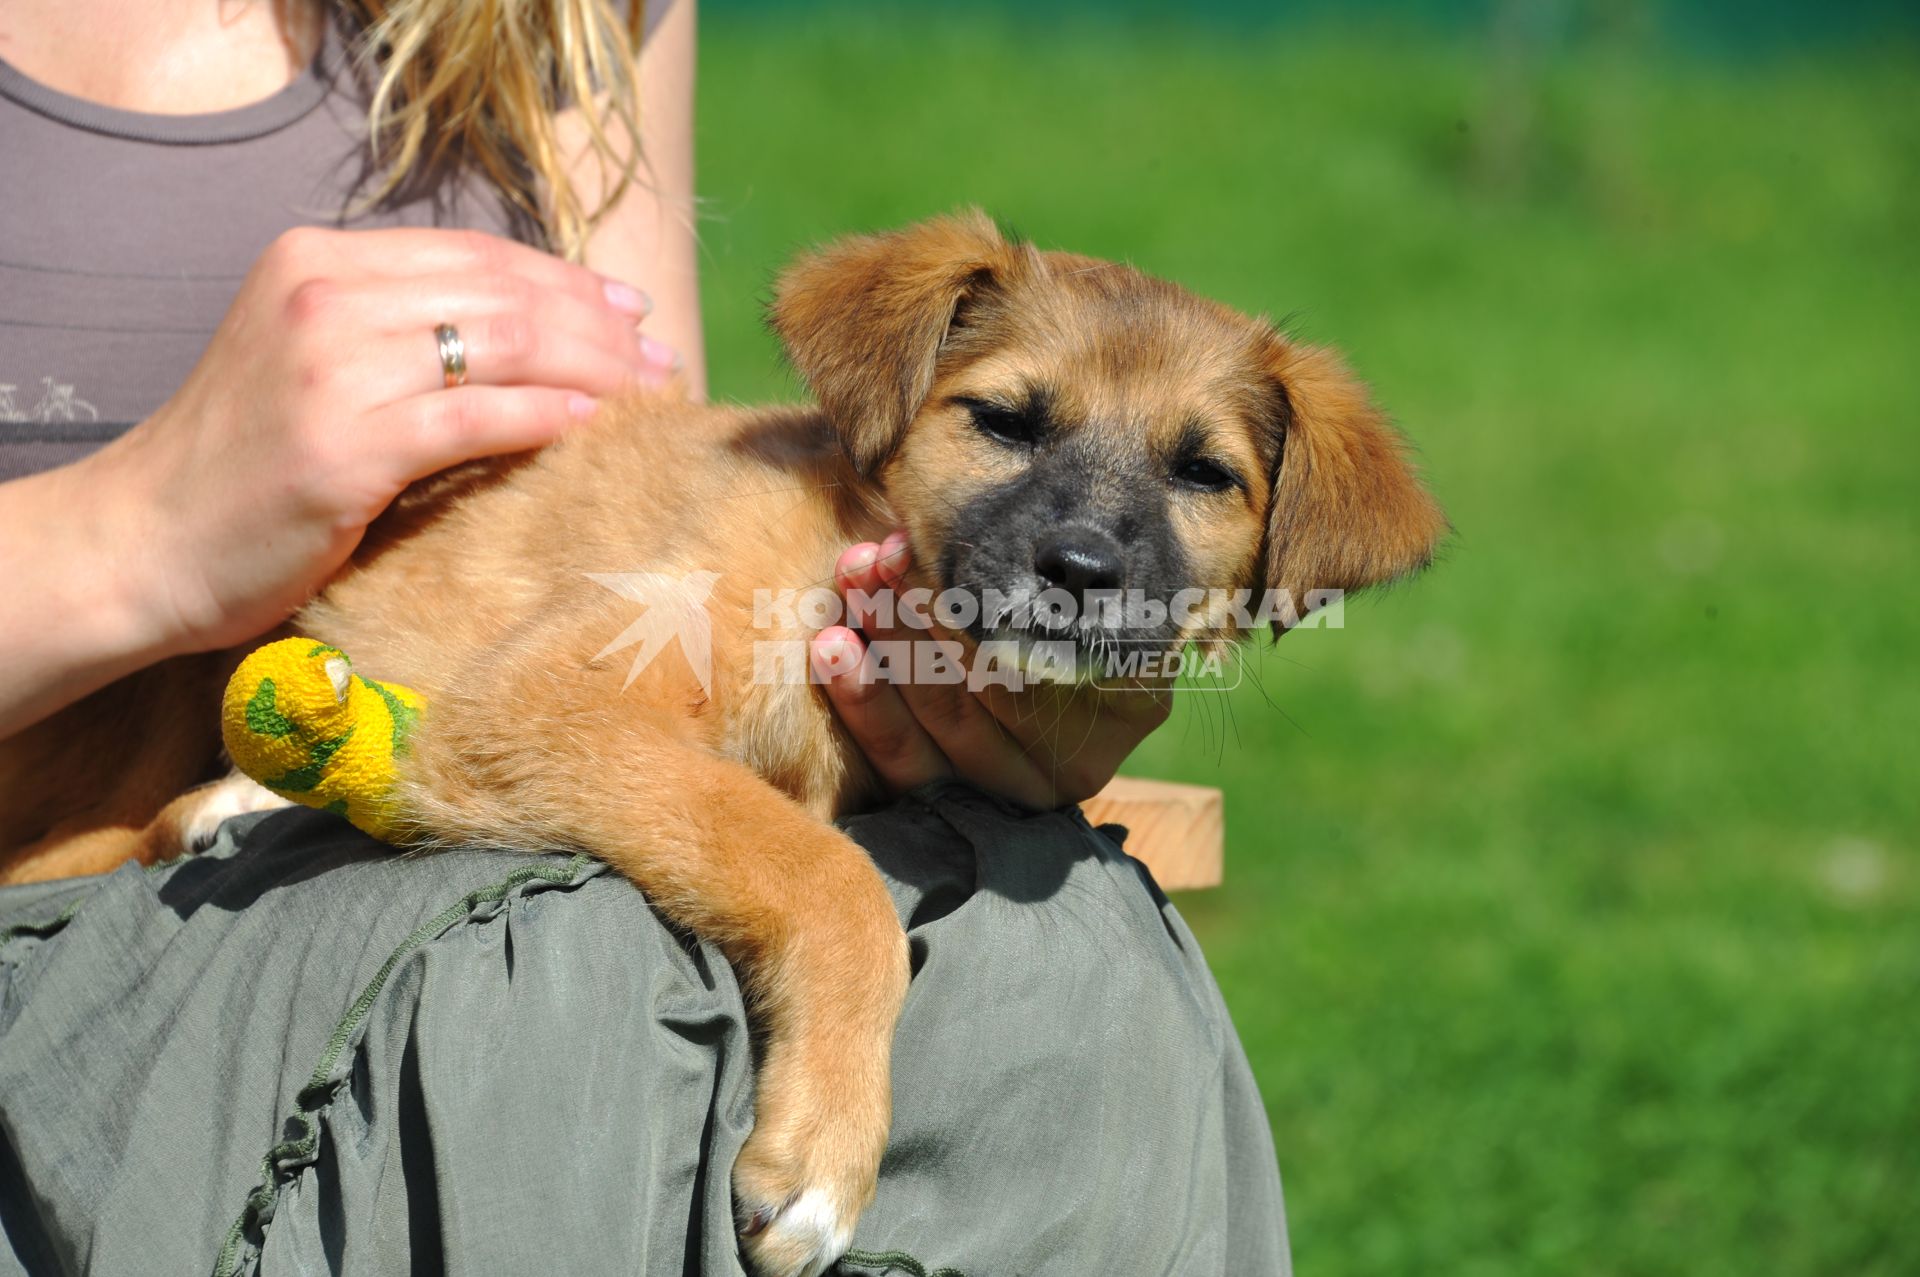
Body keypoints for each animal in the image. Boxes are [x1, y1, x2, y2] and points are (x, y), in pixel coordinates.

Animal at [0, 214, 1443, 1267]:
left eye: (1205, 474)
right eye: (1004, 420)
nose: (1080, 570)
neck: (849, 534)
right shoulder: (551, 697)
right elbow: (824, 871)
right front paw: (822, 1156)